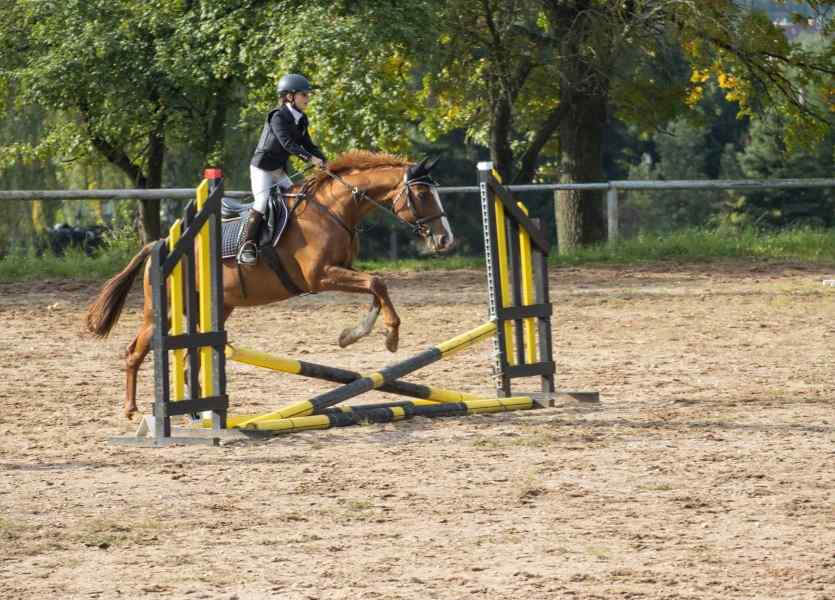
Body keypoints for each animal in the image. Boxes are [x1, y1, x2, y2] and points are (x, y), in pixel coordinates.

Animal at [83, 152, 458, 420]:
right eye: (422, 192)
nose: (446, 240)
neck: (333, 209)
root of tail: (159, 245)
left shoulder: (344, 270)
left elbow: (376, 289)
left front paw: (353, 335)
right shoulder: (321, 275)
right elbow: (377, 283)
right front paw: (390, 336)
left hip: (215, 307)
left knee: (191, 360)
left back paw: (200, 412)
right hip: (166, 310)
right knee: (135, 351)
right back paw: (132, 410)